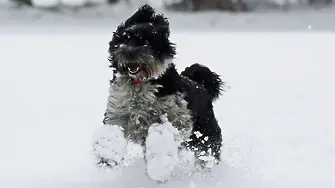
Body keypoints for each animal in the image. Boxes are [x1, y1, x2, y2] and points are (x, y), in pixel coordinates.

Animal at [91, 4, 223, 183]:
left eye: (146, 41)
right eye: (124, 39)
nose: (129, 52)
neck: (140, 83)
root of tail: (201, 86)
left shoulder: (175, 116)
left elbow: (161, 136)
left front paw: (159, 168)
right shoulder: (117, 112)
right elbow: (111, 134)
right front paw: (107, 157)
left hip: (206, 136)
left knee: (207, 155)